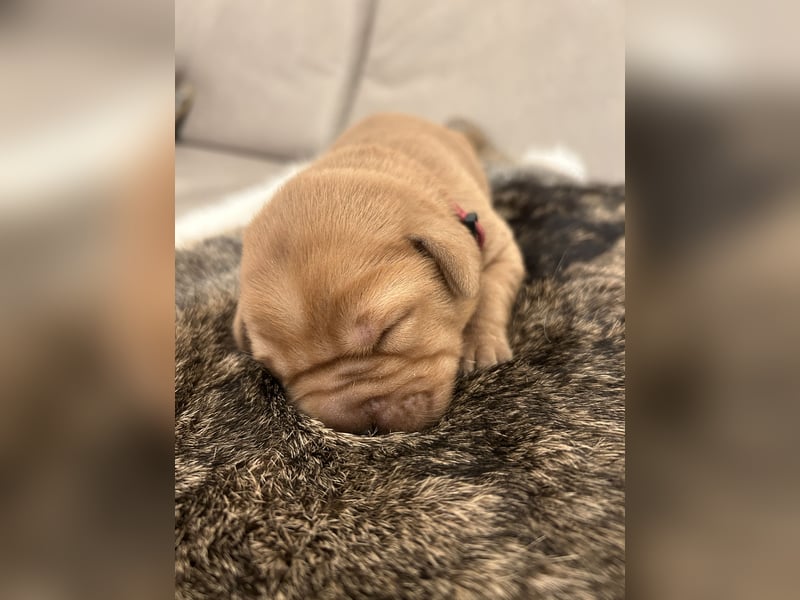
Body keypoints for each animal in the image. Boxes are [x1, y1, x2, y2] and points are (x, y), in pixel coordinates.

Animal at [236, 113, 524, 432]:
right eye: (278, 370)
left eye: (392, 328)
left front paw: (480, 345)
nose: (360, 425)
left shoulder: (502, 250)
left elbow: (489, 293)